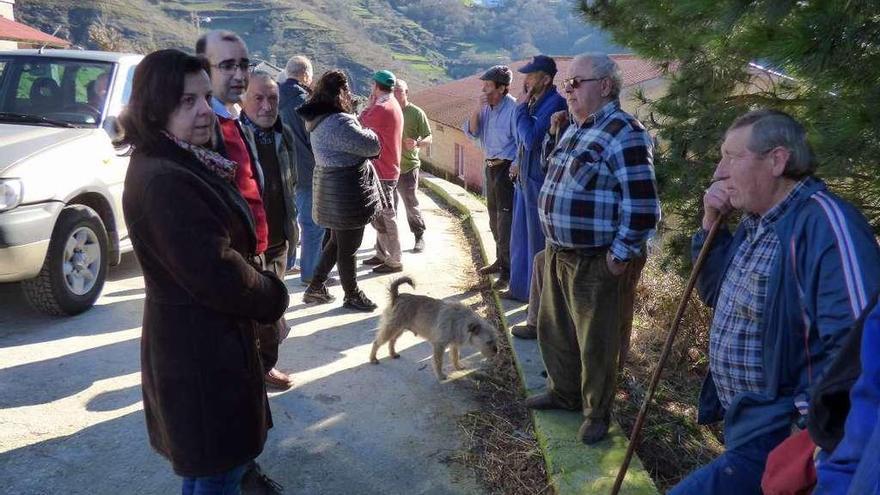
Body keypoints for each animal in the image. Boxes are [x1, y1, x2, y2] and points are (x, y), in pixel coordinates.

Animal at [368, 280, 498, 380]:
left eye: (496, 340)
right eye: (488, 342)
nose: (496, 352)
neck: (460, 320)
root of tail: (397, 296)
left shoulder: (454, 344)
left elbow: (455, 356)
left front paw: (458, 367)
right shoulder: (439, 346)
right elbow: (438, 361)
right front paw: (440, 376)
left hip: (399, 329)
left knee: (392, 341)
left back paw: (393, 353)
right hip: (392, 328)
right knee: (377, 342)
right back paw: (373, 358)